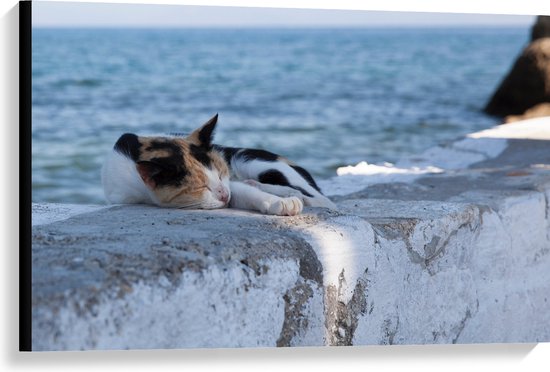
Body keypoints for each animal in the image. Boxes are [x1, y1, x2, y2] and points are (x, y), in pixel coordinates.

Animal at [101, 115, 338, 217]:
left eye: (222, 174)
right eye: (200, 187)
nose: (224, 194)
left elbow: (242, 191)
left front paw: (281, 203)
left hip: (248, 159)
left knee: (320, 199)